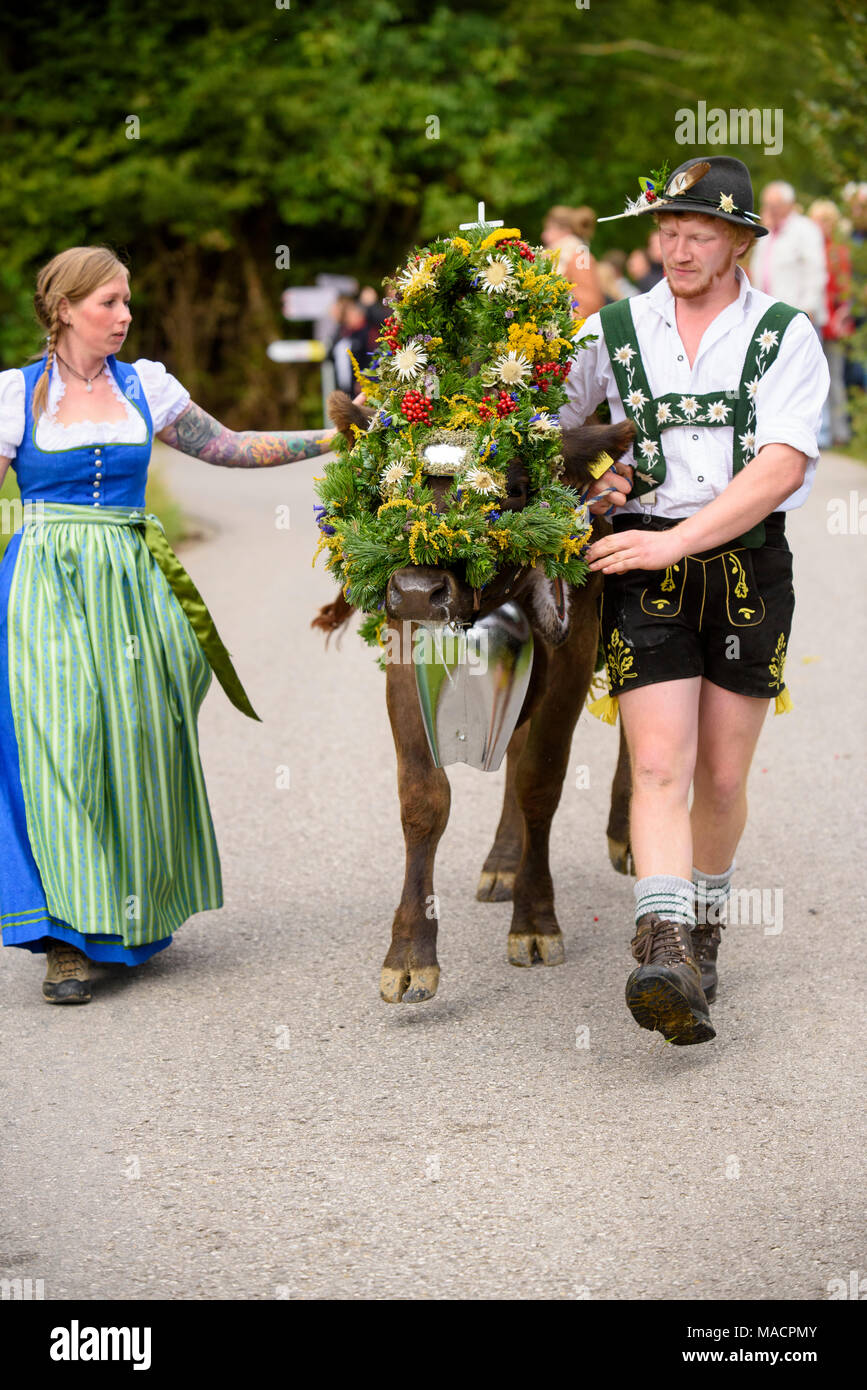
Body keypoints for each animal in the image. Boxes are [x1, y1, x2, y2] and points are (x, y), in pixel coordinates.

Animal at [311, 214, 630, 1000]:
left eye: (509, 489)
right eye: (385, 480)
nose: (415, 589)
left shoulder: (571, 652)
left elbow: (542, 778)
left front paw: (536, 921)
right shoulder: (404, 650)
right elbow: (424, 797)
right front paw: (409, 954)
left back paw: (621, 837)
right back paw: (502, 862)